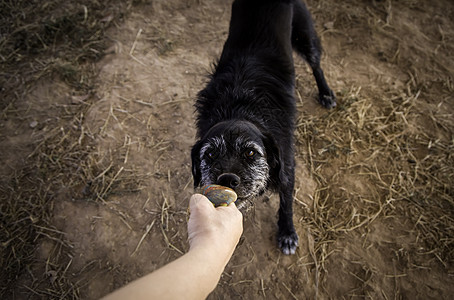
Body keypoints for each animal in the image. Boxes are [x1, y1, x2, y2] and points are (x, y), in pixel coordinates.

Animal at [190, 0, 336, 255]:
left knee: (316, 64)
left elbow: (286, 203)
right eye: (209, 154)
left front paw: (287, 233)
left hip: (304, 36)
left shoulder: (287, 167)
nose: (228, 179)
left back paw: (325, 93)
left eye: (250, 153)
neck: (239, 108)